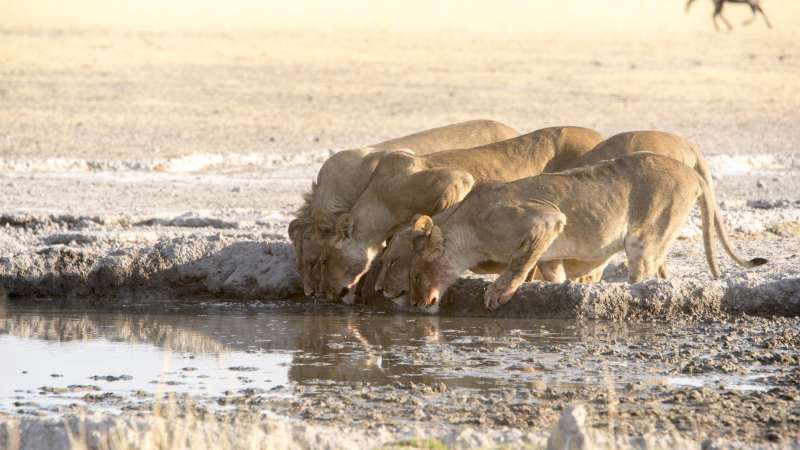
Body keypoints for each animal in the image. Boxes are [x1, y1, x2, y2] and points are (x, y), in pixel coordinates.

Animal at [407, 153, 767, 311]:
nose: (416, 304)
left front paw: (499, 292)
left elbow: (518, 263)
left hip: (646, 237)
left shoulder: (546, 218)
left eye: (416, 275)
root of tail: (693, 174)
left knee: (643, 276)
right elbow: (548, 271)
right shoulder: (550, 252)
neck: (467, 227)